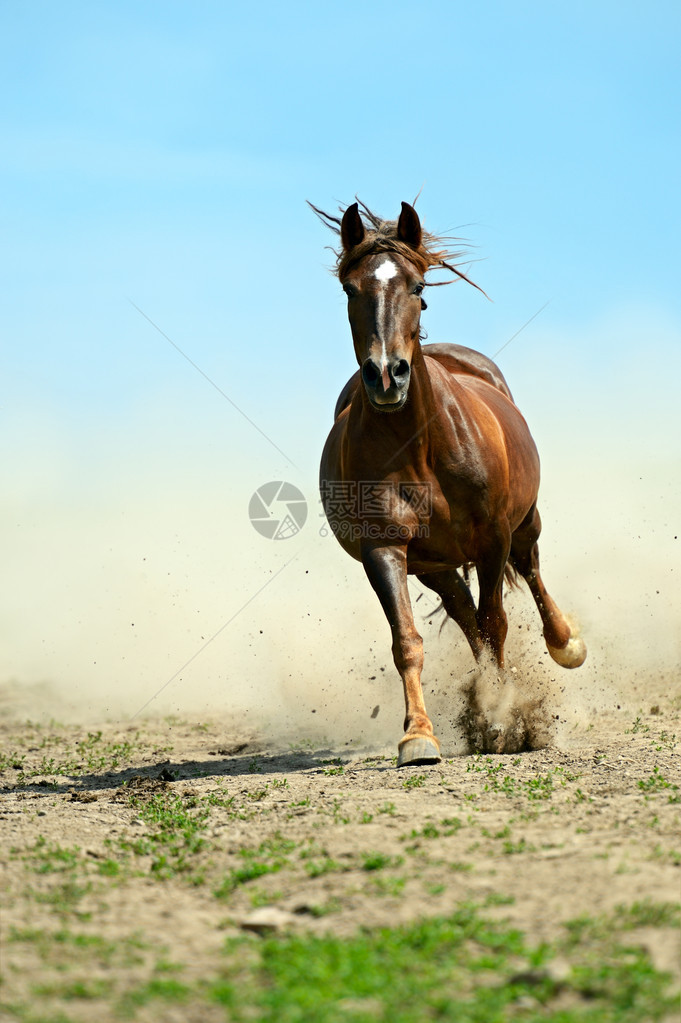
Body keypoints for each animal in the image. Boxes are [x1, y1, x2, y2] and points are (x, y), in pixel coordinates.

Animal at [312, 199, 584, 765]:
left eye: (417, 285)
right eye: (350, 289)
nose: (386, 375)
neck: (420, 450)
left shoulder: (492, 539)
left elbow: (497, 622)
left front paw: (502, 716)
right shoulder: (384, 549)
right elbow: (408, 641)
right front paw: (420, 734)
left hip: (522, 525)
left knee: (529, 576)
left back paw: (565, 645)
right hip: (433, 564)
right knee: (463, 612)